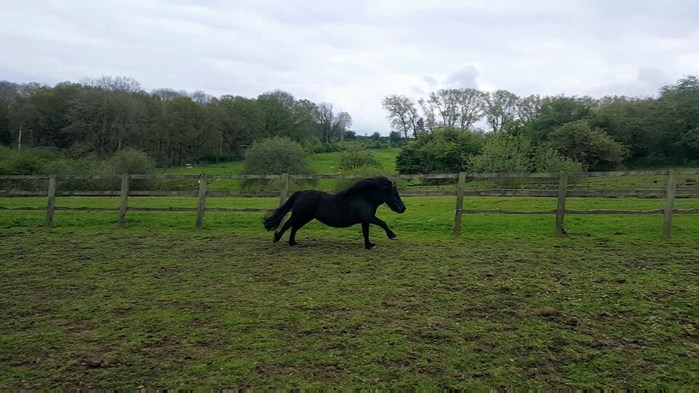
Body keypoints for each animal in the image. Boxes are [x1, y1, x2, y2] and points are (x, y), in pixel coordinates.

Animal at [264, 177, 408, 248]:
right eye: (394, 194)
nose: (403, 208)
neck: (364, 197)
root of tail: (301, 193)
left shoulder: (365, 220)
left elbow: (366, 233)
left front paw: (369, 245)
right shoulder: (369, 217)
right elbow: (383, 223)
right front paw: (392, 235)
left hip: (306, 217)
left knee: (294, 228)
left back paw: (293, 243)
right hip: (299, 215)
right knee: (287, 225)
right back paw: (276, 239)